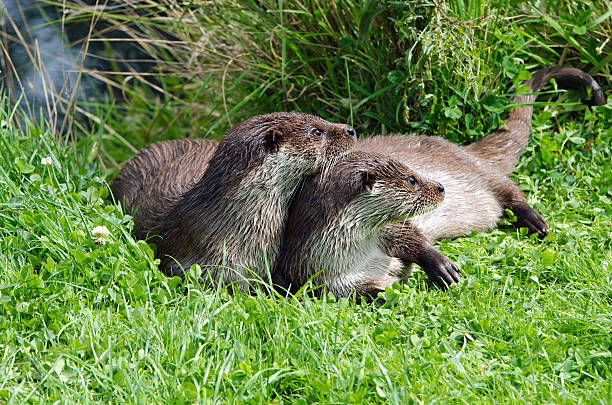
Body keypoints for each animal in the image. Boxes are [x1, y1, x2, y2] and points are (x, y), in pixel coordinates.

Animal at [272, 152, 450, 296]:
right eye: (412, 180)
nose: (441, 187)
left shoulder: (386, 229)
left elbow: (408, 234)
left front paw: (440, 263)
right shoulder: (319, 276)